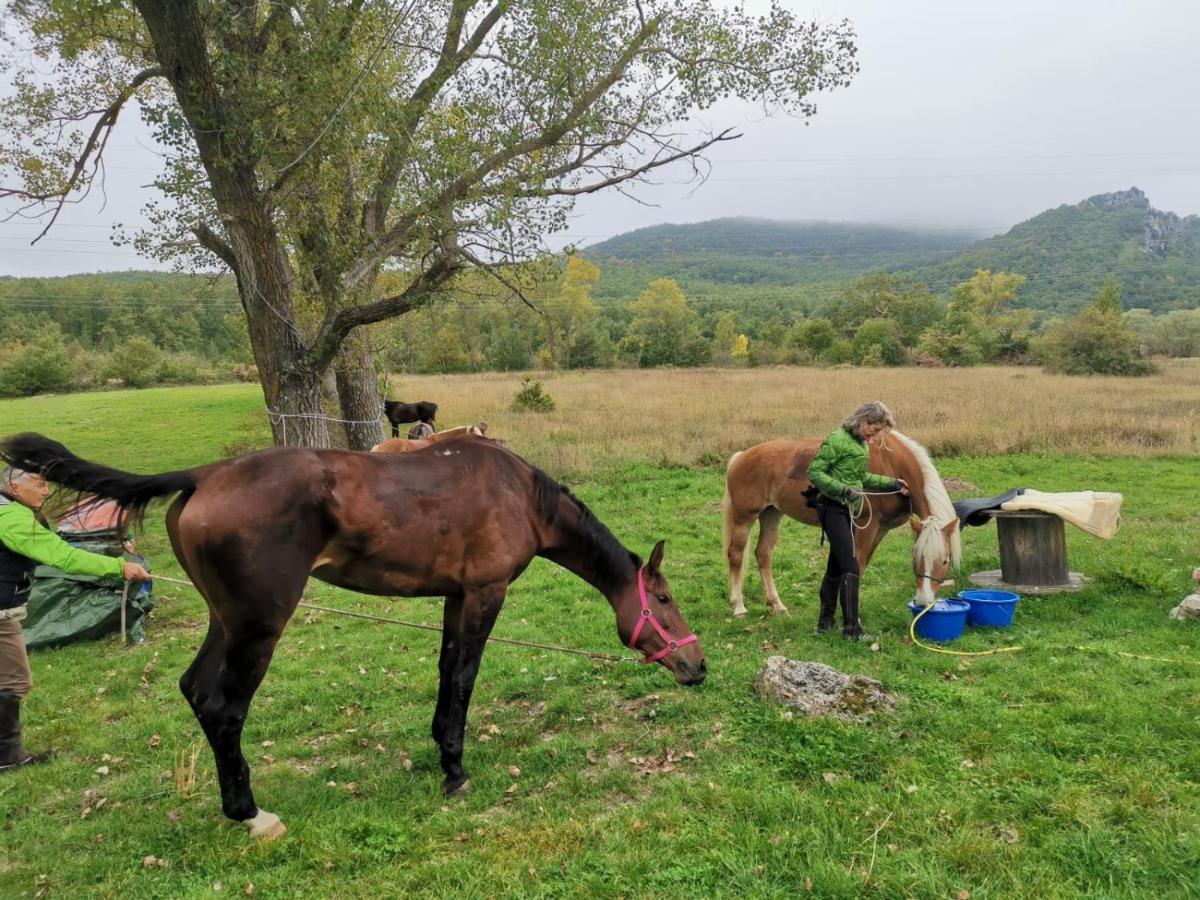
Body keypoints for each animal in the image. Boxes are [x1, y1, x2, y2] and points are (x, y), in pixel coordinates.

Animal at [2, 434, 700, 844]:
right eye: (665, 600)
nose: (697, 666)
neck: (522, 495)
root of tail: (201, 475)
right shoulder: (484, 593)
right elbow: (465, 677)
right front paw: (456, 770)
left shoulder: (454, 596)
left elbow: (447, 672)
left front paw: (441, 757)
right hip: (259, 626)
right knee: (225, 707)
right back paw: (251, 814)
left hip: (226, 621)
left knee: (197, 692)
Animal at [715, 432, 960, 619]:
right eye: (916, 557)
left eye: (945, 560)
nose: (924, 602)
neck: (892, 462)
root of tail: (741, 456)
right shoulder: (866, 527)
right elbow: (857, 566)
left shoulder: (880, 530)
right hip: (744, 519)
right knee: (735, 556)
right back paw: (739, 607)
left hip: (771, 515)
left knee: (763, 554)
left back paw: (777, 604)